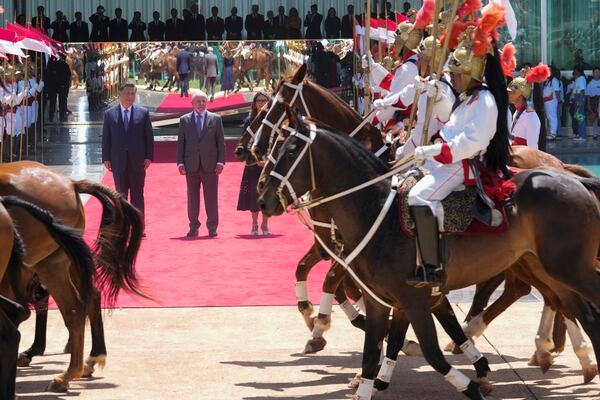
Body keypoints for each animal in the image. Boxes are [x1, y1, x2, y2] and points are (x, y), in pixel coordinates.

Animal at [0, 161, 145, 392]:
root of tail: (71, 183)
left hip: (47, 264)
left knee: (72, 308)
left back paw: (68, 373)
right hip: (57, 261)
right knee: (88, 296)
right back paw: (90, 359)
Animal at [258, 122, 600, 400]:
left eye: (290, 152)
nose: (263, 199)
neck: (375, 211)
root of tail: (576, 181)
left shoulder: (415, 301)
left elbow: (432, 354)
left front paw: (475, 382)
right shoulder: (385, 301)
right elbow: (374, 354)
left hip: (568, 269)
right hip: (548, 270)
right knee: (579, 312)